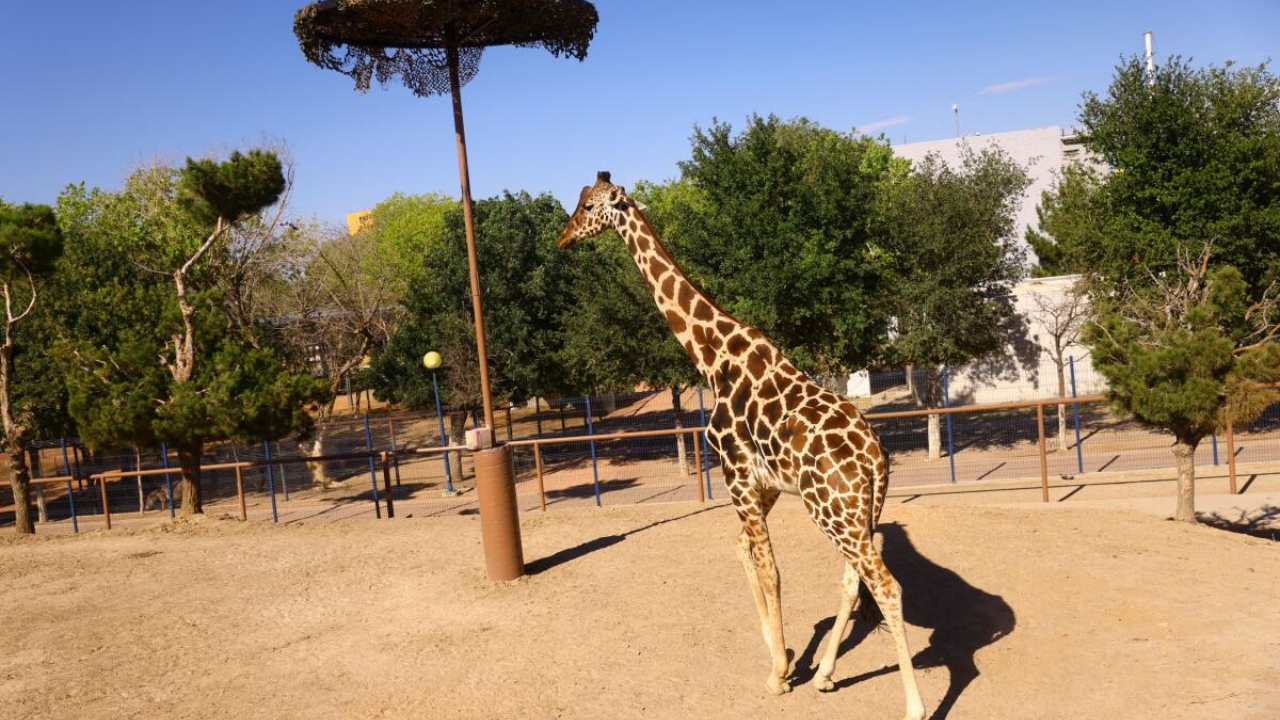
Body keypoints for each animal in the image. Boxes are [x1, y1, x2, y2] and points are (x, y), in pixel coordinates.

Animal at [558, 172, 925, 720]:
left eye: (586, 207)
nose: (562, 239)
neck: (713, 359)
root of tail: (878, 461)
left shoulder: (735, 473)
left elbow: (769, 568)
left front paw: (777, 674)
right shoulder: (762, 484)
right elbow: (743, 550)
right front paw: (786, 657)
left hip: (831, 510)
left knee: (884, 584)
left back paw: (914, 706)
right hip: (858, 512)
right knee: (852, 581)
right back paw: (824, 675)